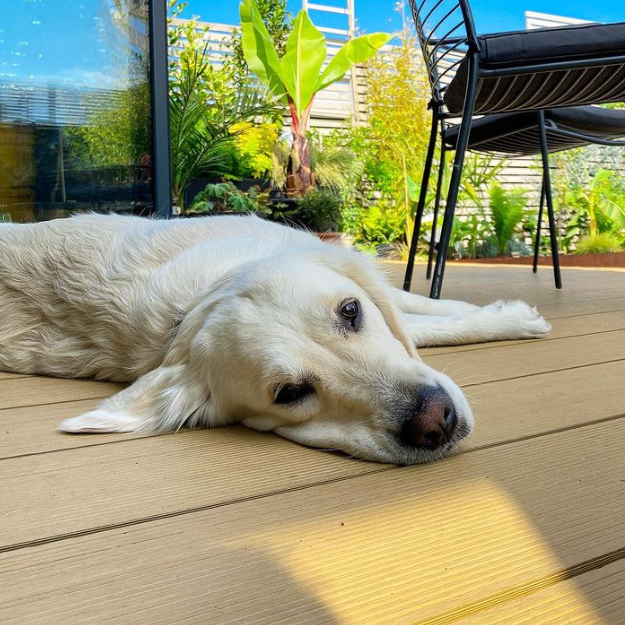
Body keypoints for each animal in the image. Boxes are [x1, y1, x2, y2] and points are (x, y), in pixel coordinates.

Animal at [0, 214, 544, 464]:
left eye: (351, 311)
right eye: (290, 393)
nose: (438, 421)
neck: (203, 295)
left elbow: (419, 308)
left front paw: (495, 311)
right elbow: (428, 324)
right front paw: (514, 318)